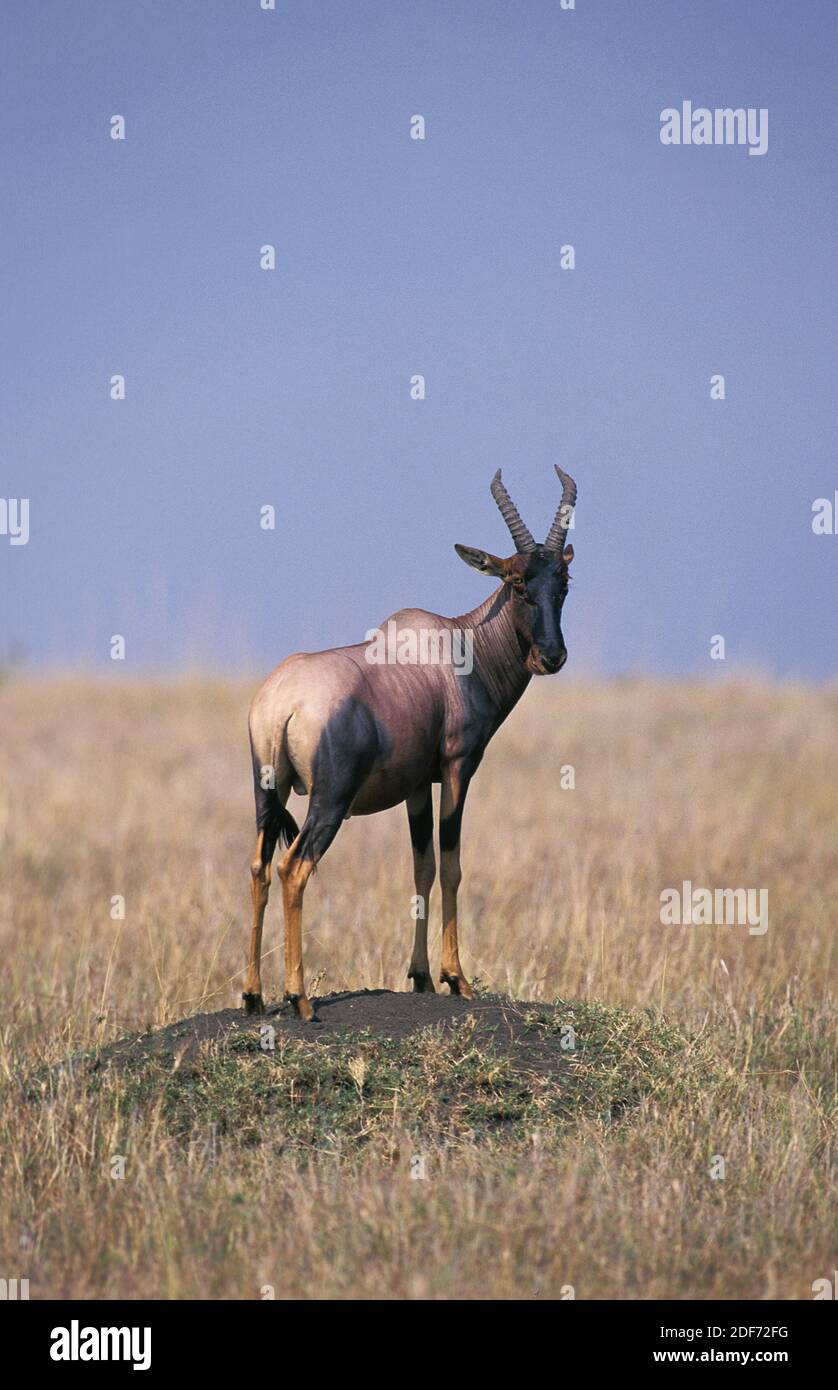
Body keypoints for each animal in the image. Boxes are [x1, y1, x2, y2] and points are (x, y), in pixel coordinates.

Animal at [243, 467, 578, 1023]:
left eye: (564, 583)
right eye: (516, 582)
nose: (551, 656)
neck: (456, 648)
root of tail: (281, 702)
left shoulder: (417, 785)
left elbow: (421, 868)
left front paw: (420, 975)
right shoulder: (458, 768)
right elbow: (452, 863)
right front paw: (456, 978)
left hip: (267, 794)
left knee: (260, 868)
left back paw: (251, 995)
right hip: (329, 802)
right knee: (294, 868)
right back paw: (300, 999)